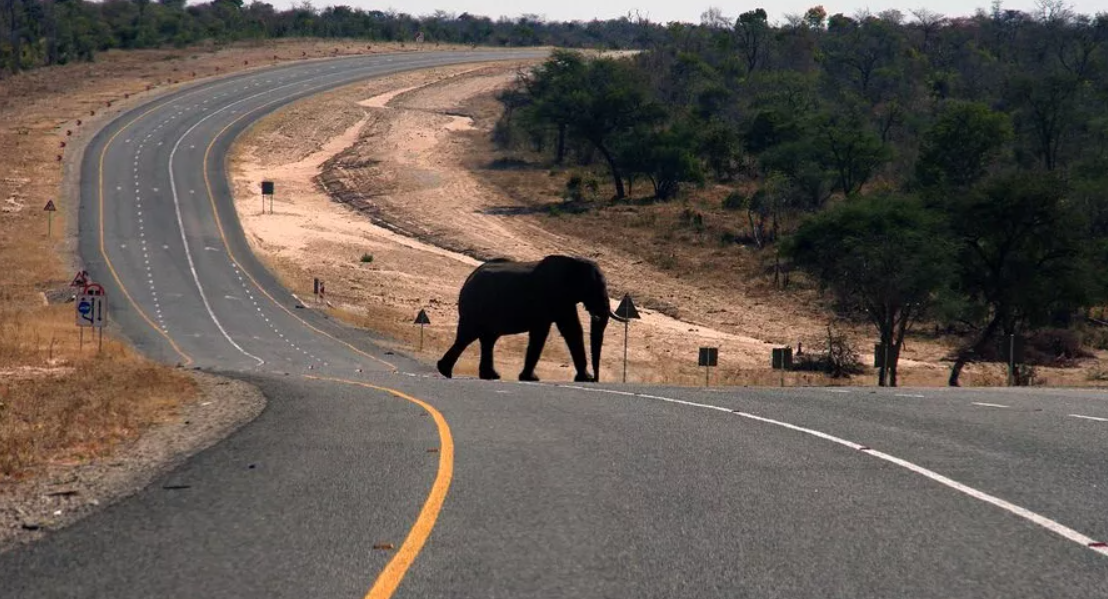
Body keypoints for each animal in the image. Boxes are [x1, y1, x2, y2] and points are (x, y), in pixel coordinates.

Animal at [434, 254, 624, 380]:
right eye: (594, 288)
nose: (596, 379)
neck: (574, 263)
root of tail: (469, 278)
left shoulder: (563, 299)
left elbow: (571, 329)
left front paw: (584, 378)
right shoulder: (551, 295)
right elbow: (546, 331)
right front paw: (531, 378)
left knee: (486, 339)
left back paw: (488, 375)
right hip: (475, 308)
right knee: (468, 336)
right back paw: (446, 371)